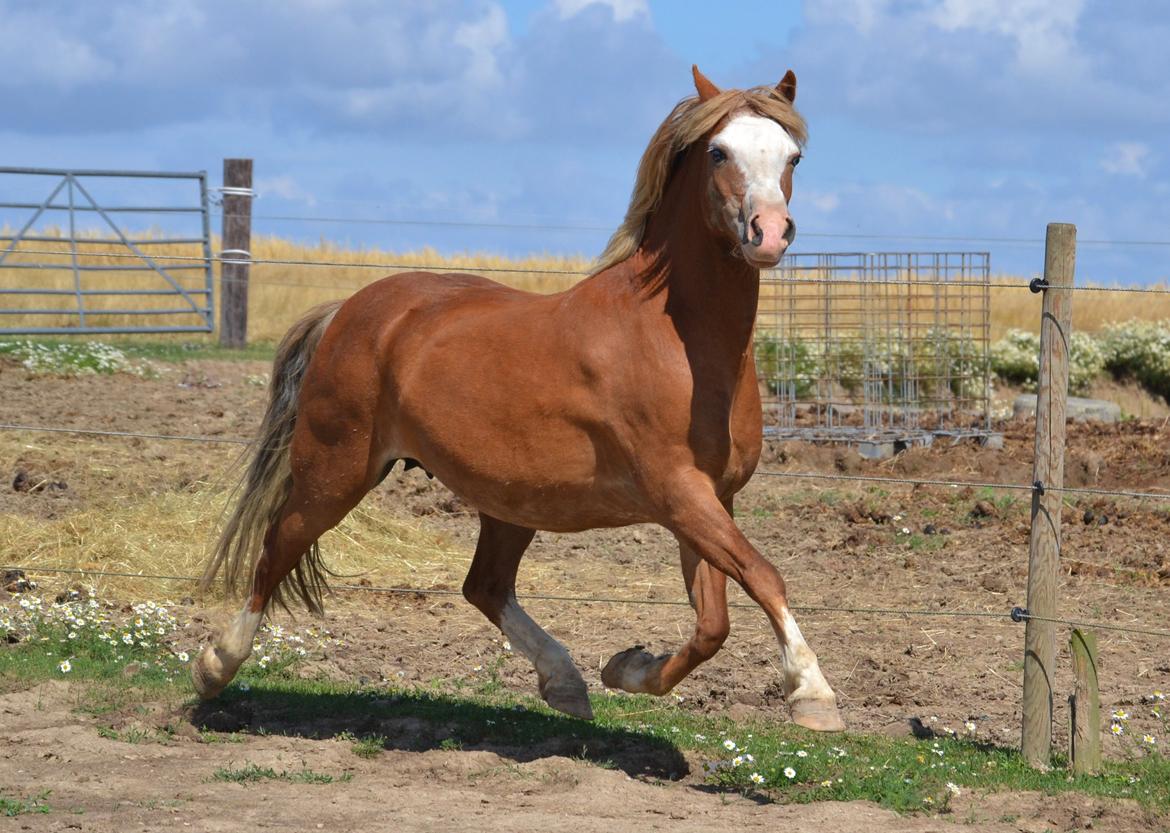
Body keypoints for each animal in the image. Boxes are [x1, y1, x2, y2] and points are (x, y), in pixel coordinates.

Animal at [196, 66, 847, 730]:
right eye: (719, 151)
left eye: (793, 156)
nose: (768, 233)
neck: (673, 340)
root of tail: (349, 311)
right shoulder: (679, 493)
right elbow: (762, 575)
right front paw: (812, 694)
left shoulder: (713, 499)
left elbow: (713, 622)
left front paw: (627, 668)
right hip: (335, 470)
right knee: (276, 549)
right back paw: (215, 666)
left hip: (509, 500)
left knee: (484, 585)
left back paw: (565, 681)